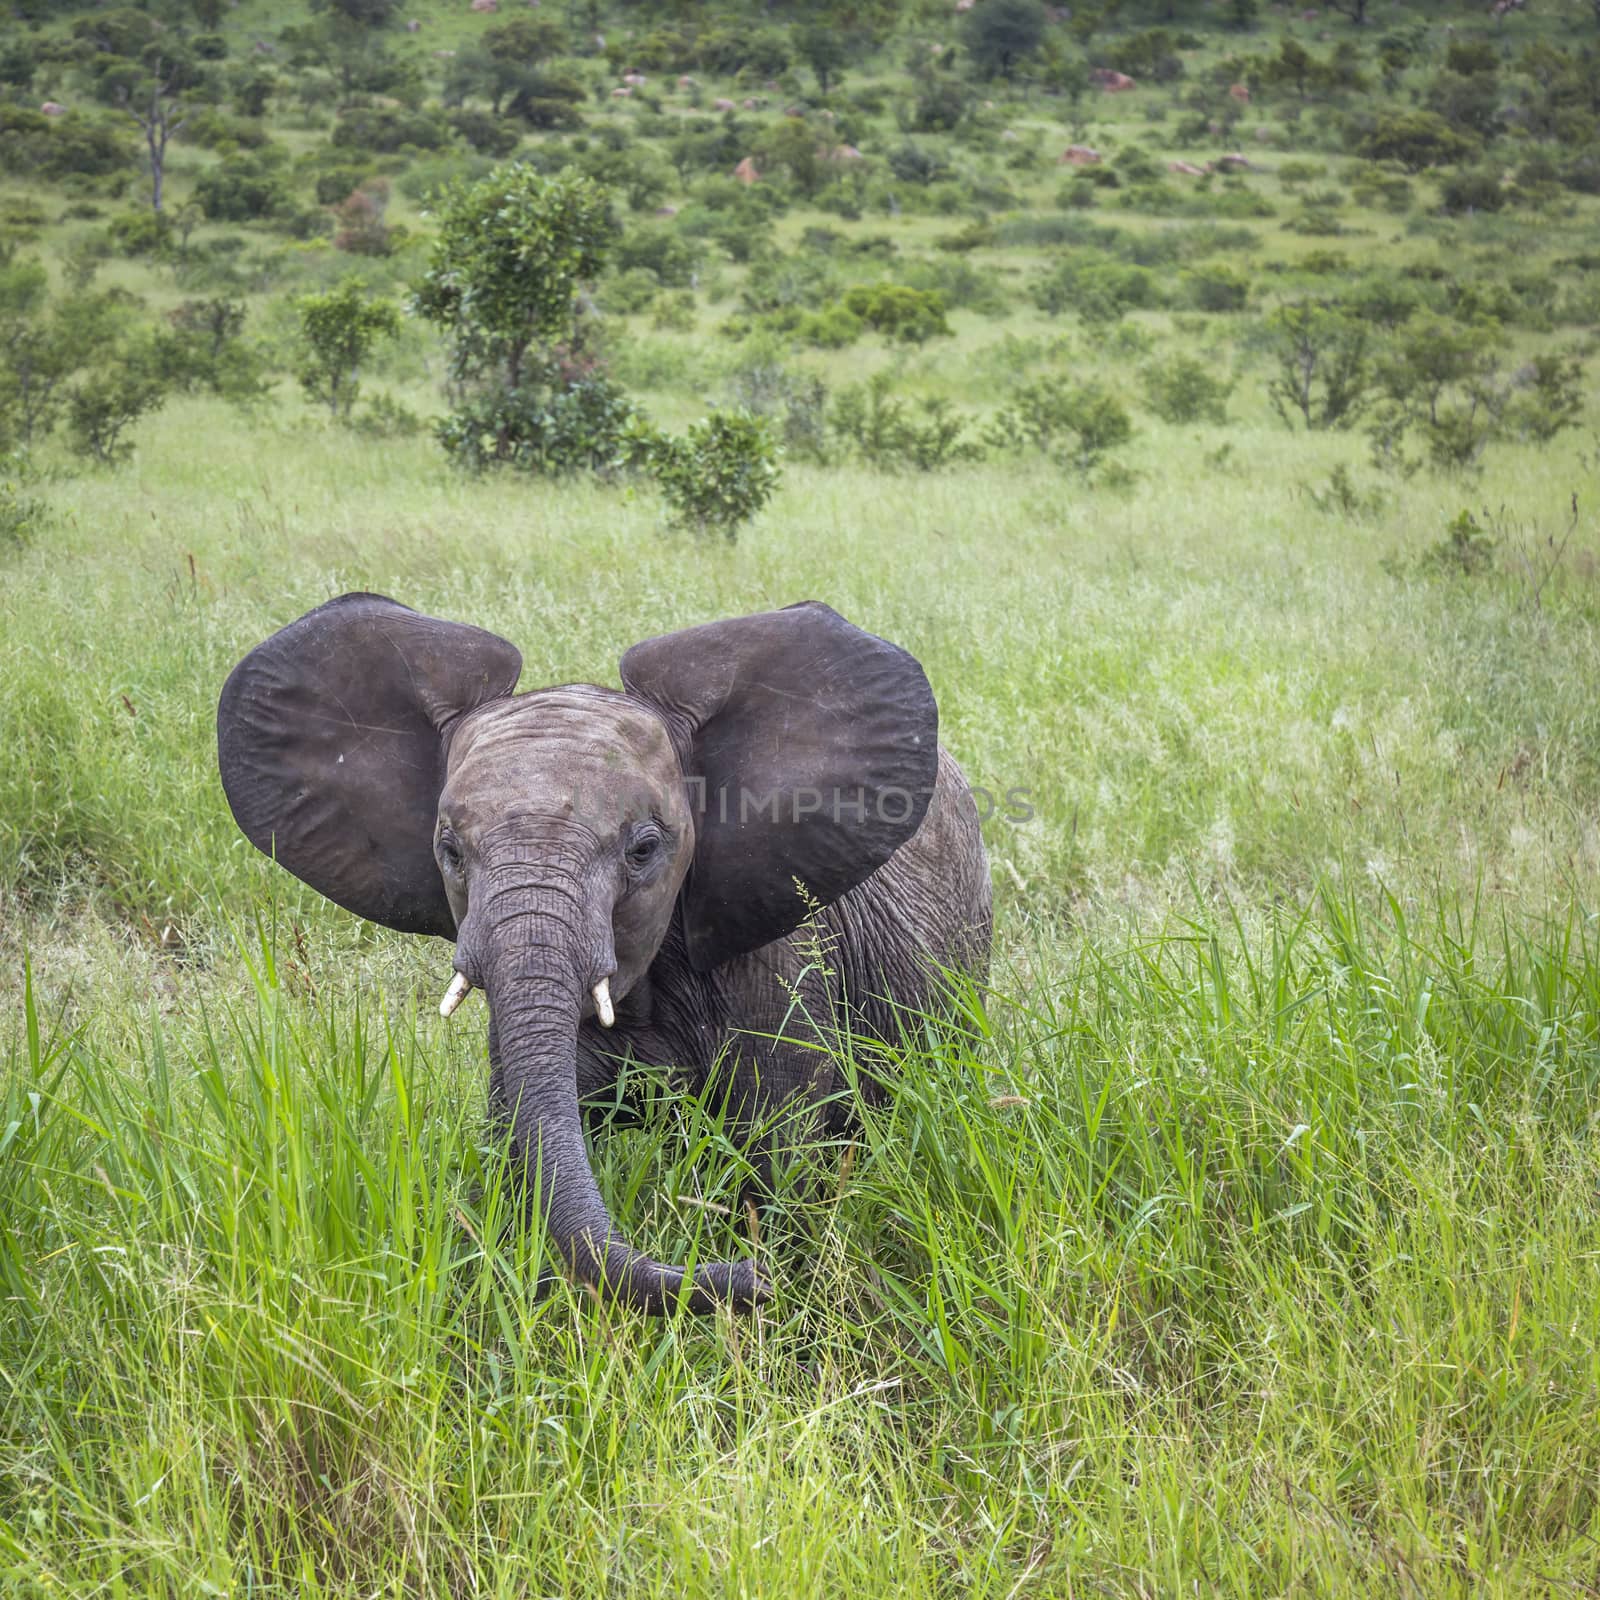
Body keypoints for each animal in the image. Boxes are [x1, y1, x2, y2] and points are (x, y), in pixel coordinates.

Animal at [212, 598, 985, 1312]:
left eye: (644, 849)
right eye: (450, 850)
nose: (742, 1280)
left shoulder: (780, 964)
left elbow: (776, 1143)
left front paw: (776, 1276)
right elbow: (522, 1135)